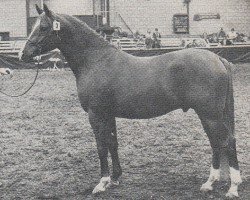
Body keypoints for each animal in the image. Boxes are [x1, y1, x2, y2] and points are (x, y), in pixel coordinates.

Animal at [19, 3, 242, 198]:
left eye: (44, 27)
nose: (23, 54)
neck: (96, 61)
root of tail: (218, 59)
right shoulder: (108, 115)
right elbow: (112, 143)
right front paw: (115, 178)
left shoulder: (96, 115)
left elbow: (101, 147)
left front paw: (102, 183)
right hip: (208, 116)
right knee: (216, 143)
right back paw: (210, 183)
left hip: (210, 115)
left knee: (227, 141)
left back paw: (233, 188)